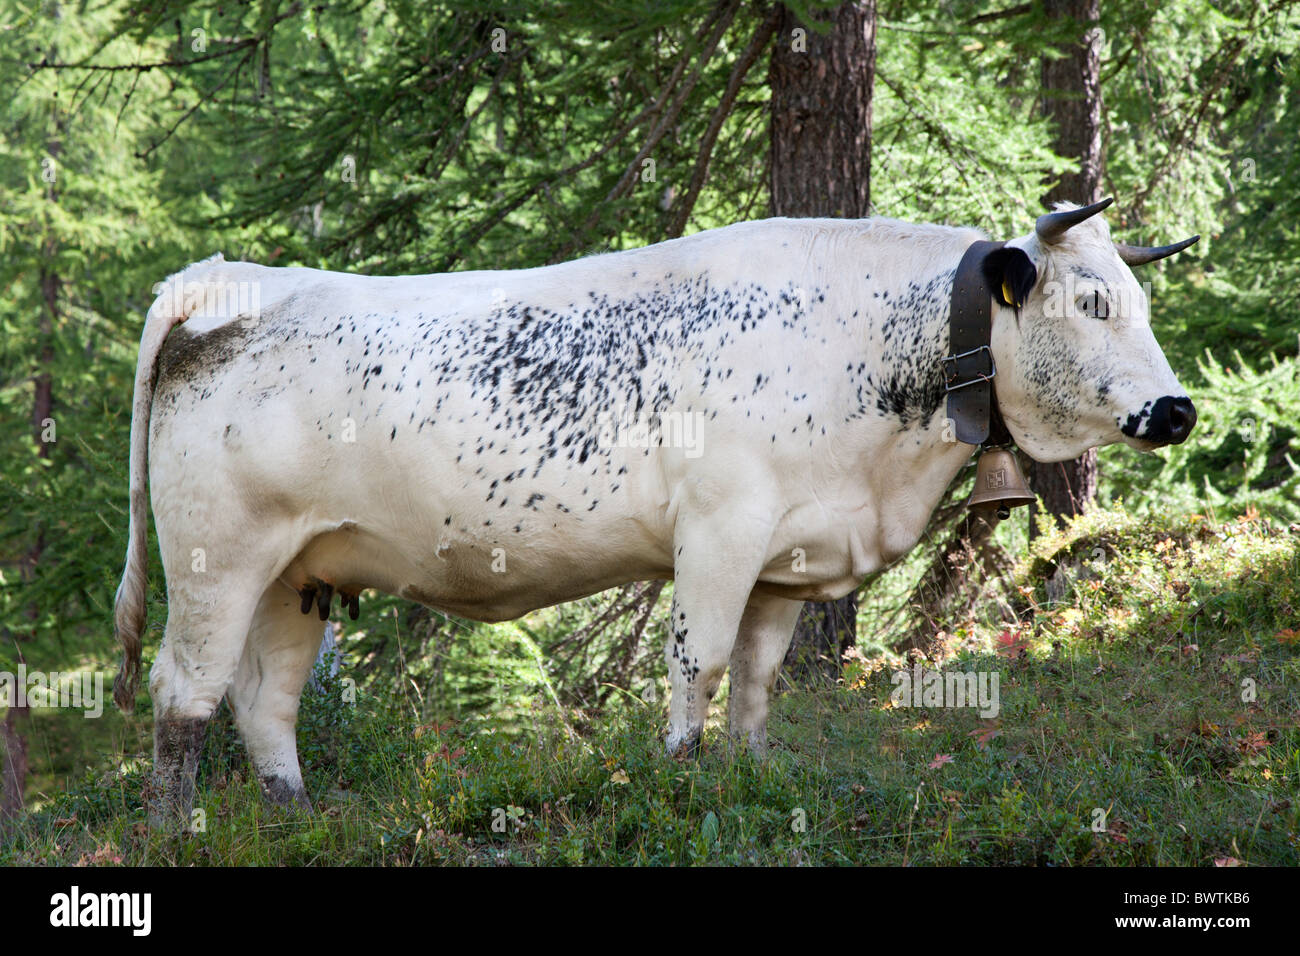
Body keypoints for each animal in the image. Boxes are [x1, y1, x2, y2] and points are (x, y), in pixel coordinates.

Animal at [113, 198, 1197, 823]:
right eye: (1091, 303)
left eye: (1140, 299)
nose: (1177, 408)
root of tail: (232, 280)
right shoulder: (720, 529)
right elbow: (699, 663)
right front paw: (680, 778)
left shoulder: (788, 557)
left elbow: (756, 682)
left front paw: (751, 779)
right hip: (215, 558)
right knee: (184, 692)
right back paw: (176, 828)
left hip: (298, 571)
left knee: (266, 698)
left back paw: (297, 816)